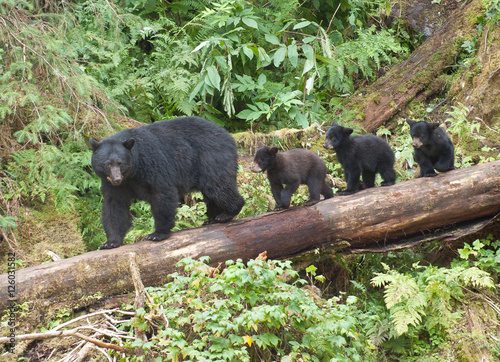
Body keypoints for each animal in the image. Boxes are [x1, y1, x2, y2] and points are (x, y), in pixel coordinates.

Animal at [90, 117, 246, 250]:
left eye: (121, 163)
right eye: (107, 164)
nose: (117, 179)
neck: (133, 173)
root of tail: (229, 137)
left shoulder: (153, 164)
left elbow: (162, 193)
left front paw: (157, 234)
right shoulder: (114, 185)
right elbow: (115, 206)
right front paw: (110, 242)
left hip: (211, 159)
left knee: (218, 186)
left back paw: (227, 213)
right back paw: (213, 218)